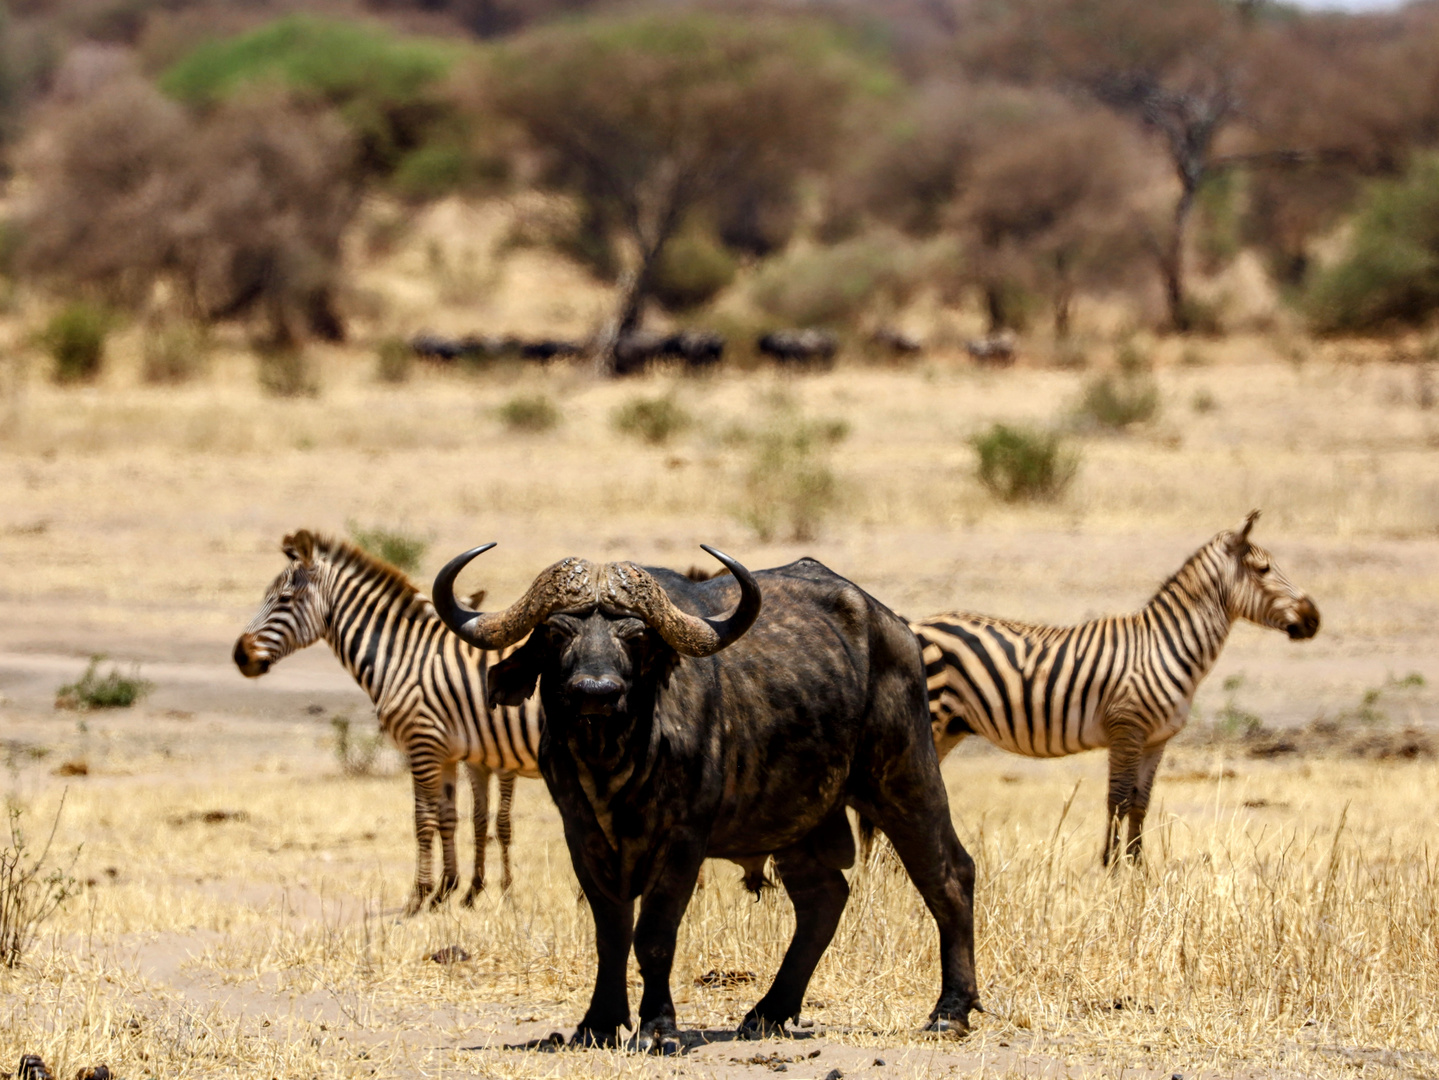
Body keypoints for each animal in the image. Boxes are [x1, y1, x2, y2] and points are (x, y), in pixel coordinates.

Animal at [235, 529, 541, 914]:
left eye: (284, 599)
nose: (239, 655)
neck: (402, 657)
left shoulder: (424, 743)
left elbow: (424, 820)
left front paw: (420, 895)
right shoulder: (449, 752)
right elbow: (450, 817)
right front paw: (446, 891)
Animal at [431, 543, 984, 1052]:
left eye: (636, 636)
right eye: (555, 633)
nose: (596, 692)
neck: (616, 761)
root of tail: (896, 628)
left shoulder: (683, 840)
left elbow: (654, 935)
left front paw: (658, 1028)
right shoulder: (581, 834)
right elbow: (610, 932)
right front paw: (598, 1024)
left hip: (904, 777)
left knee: (949, 875)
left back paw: (949, 1012)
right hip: (796, 824)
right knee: (823, 898)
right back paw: (767, 1013)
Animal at [915, 514, 1318, 868]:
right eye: (1264, 569)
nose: (1315, 619)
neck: (1166, 645)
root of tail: (914, 624)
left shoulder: (1155, 740)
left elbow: (1141, 802)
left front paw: (1137, 868)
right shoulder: (1126, 728)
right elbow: (1119, 799)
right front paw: (1110, 867)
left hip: (949, 728)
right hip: (932, 719)